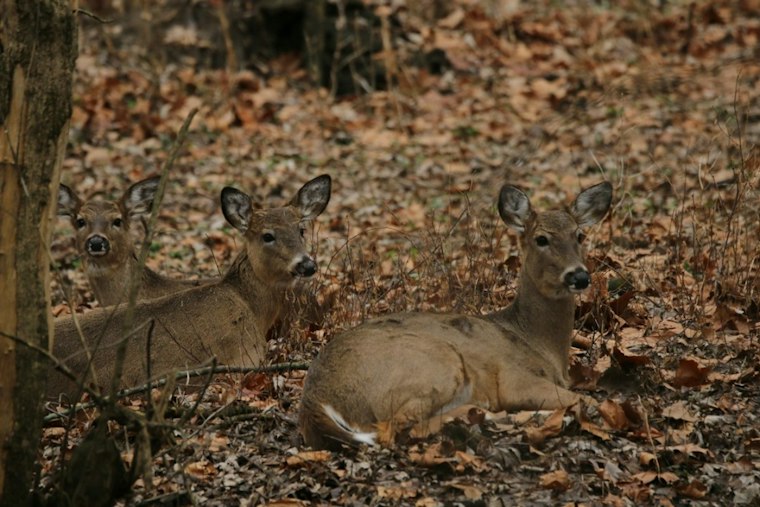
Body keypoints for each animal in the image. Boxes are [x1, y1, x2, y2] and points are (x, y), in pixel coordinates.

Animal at [299, 181, 612, 450]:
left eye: (580, 235)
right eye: (541, 239)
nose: (579, 276)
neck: (538, 342)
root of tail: (314, 400)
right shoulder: (514, 378)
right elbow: (585, 400)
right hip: (435, 360)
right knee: (397, 428)